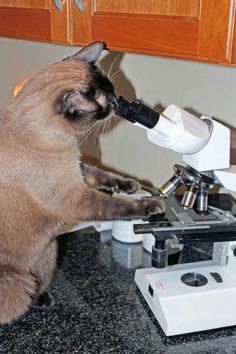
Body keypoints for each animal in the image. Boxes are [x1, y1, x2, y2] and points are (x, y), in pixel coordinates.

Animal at [0, 41, 164, 324]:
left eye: (113, 93)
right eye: (107, 100)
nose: (118, 101)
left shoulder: (78, 170)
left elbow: (103, 175)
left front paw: (131, 186)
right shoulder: (76, 198)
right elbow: (117, 206)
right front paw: (150, 205)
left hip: (47, 252)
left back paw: (44, 300)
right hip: (17, 282)